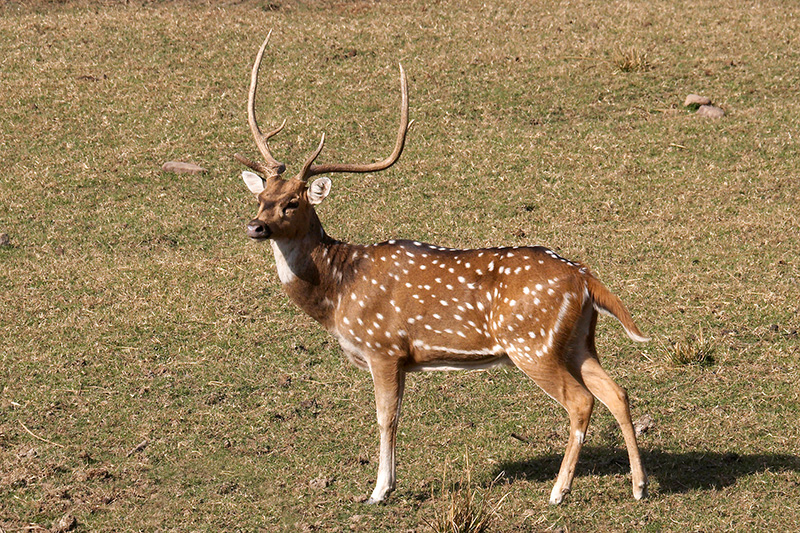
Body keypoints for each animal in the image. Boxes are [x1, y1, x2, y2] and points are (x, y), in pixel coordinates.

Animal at [234, 31, 648, 504]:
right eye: (261, 195)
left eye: (293, 202)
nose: (256, 226)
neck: (338, 293)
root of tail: (584, 277)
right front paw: (387, 485)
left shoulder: (384, 347)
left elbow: (386, 418)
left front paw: (379, 491)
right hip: (578, 340)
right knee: (617, 391)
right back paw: (639, 485)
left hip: (531, 343)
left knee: (581, 401)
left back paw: (559, 492)